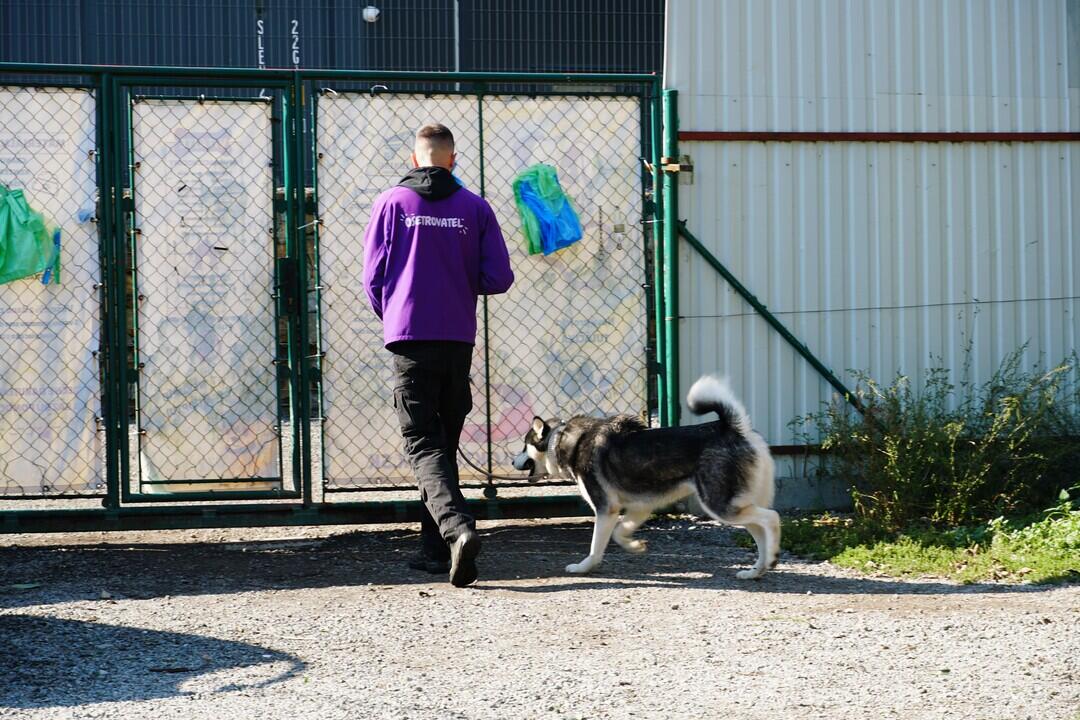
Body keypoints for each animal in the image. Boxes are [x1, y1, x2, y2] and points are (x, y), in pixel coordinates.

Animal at [509, 377, 781, 578]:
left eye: (524, 445)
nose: (512, 461)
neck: (563, 440)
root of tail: (733, 428)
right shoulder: (639, 507)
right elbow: (620, 532)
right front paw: (635, 546)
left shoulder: (606, 509)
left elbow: (596, 546)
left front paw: (584, 567)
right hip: (735, 506)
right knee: (759, 530)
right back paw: (757, 570)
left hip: (720, 506)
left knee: (771, 518)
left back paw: (772, 556)